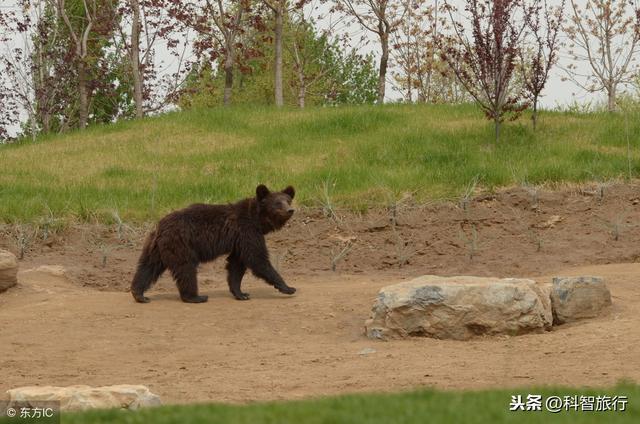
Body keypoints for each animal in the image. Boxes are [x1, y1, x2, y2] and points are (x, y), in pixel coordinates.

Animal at [132, 185, 300, 302]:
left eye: (288, 200)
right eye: (278, 203)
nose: (290, 210)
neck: (257, 220)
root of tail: (160, 226)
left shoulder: (239, 241)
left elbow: (236, 265)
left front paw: (241, 293)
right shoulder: (247, 232)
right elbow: (257, 259)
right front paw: (288, 287)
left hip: (156, 248)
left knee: (147, 267)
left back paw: (139, 294)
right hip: (181, 244)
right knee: (186, 268)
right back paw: (195, 297)